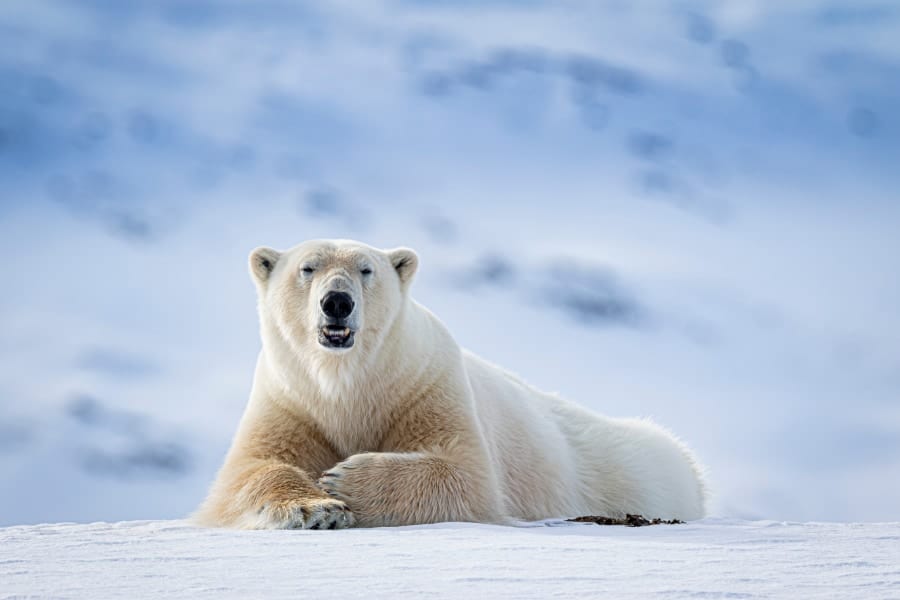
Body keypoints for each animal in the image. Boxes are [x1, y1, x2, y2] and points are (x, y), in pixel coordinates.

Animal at [193, 239, 708, 528]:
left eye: (366, 269)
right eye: (308, 268)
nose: (337, 301)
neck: (349, 385)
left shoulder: (424, 384)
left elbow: (465, 473)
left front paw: (344, 481)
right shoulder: (290, 399)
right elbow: (250, 470)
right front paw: (317, 509)